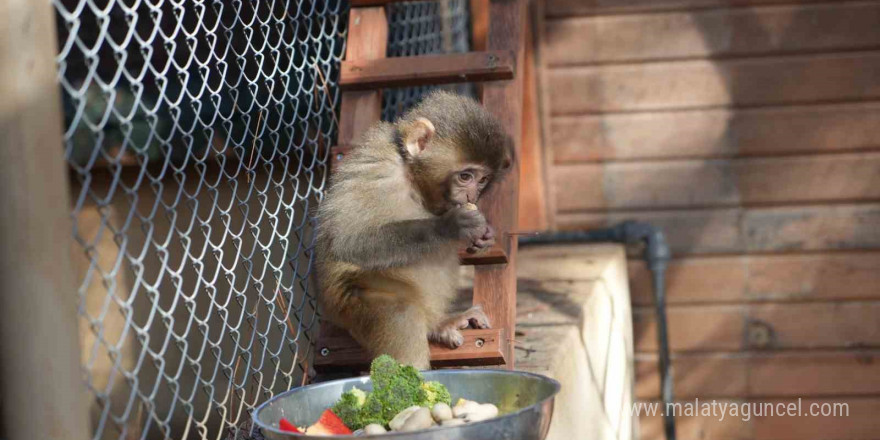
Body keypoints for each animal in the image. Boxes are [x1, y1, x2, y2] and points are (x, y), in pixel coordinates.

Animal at [316, 91, 512, 370]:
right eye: (465, 176)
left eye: (483, 179)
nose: (472, 195)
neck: (410, 178)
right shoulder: (377, 169)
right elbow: (348, 241)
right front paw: (449, 226)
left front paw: (485, 237)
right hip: (350, 307)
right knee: (400, 312)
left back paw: (438, 325)